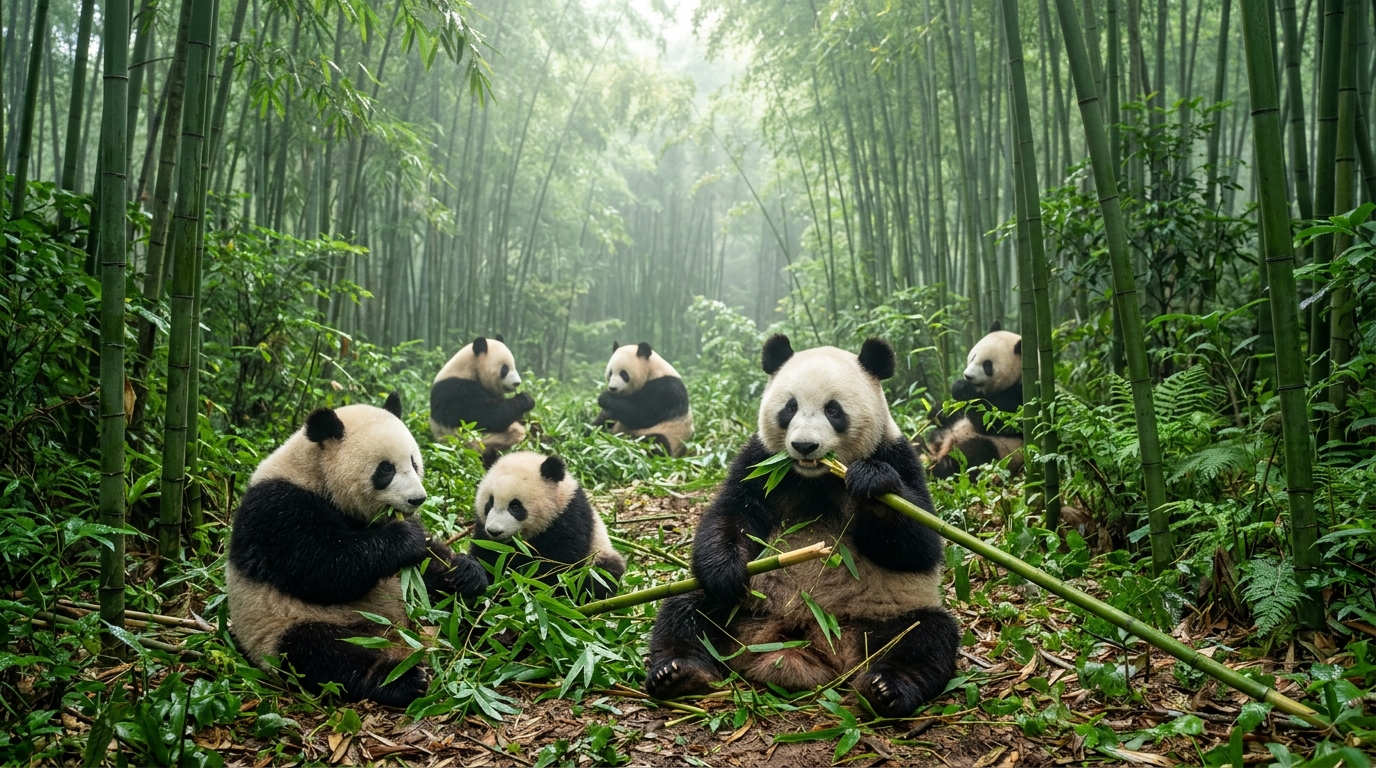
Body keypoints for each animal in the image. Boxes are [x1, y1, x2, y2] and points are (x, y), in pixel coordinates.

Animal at [226, 393, 490, 707]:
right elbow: (323, 569)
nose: (417, 499)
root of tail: (397, 633)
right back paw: (402, 678)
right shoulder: (279, 510)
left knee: (459, 607)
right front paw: (405, 538)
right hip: (280, 627)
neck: (316, 473)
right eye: (386, 469)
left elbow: (429, 562)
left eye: (414, 463)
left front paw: (465, 571)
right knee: (323, 653)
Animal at [471, 451, 626, 601]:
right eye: (490, 503)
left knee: (602, 574)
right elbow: (485, 557)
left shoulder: (570, 519)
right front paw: (472, 576)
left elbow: (557, 568)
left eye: (515, 506)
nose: (494, 531)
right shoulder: (485, 535)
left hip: (597, 556)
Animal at [646, 335, 959, 717]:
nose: (804, 446)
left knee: (926, 635)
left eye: (833, 410)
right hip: (746, 607)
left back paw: (884, 688)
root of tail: (804, 640)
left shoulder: (897, 455)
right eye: (790, 407)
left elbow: (920, 544)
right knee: (685, 611)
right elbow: (731, 514)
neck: (817, 478)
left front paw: (871, 485)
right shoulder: (761, 462)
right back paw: (679, 673)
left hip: (882, 617)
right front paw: (724, 572)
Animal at [926, 325, 1025, 479]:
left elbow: (992, 422)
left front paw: (961, 387)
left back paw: (935, 470)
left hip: (1004, 450)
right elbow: (955, 411)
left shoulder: (1020, 396)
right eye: (973, 357)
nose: (968, 376)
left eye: (987, 365)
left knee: (972, 454)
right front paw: (936, 411)